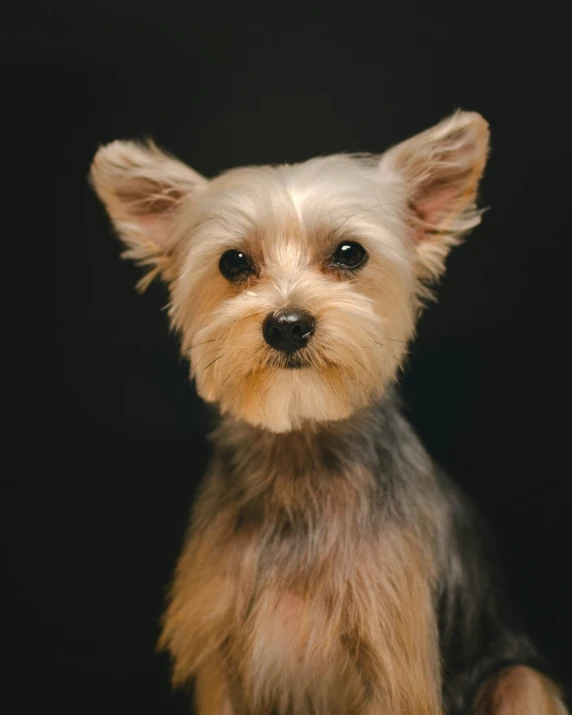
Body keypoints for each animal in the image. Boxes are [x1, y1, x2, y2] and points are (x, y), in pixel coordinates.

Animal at [90, 109, 568, 712]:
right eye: (233, 262)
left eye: (349, 253)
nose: (288, 324)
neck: (301, 444)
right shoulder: (223, 661)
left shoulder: (393, 665)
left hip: (518, 677)